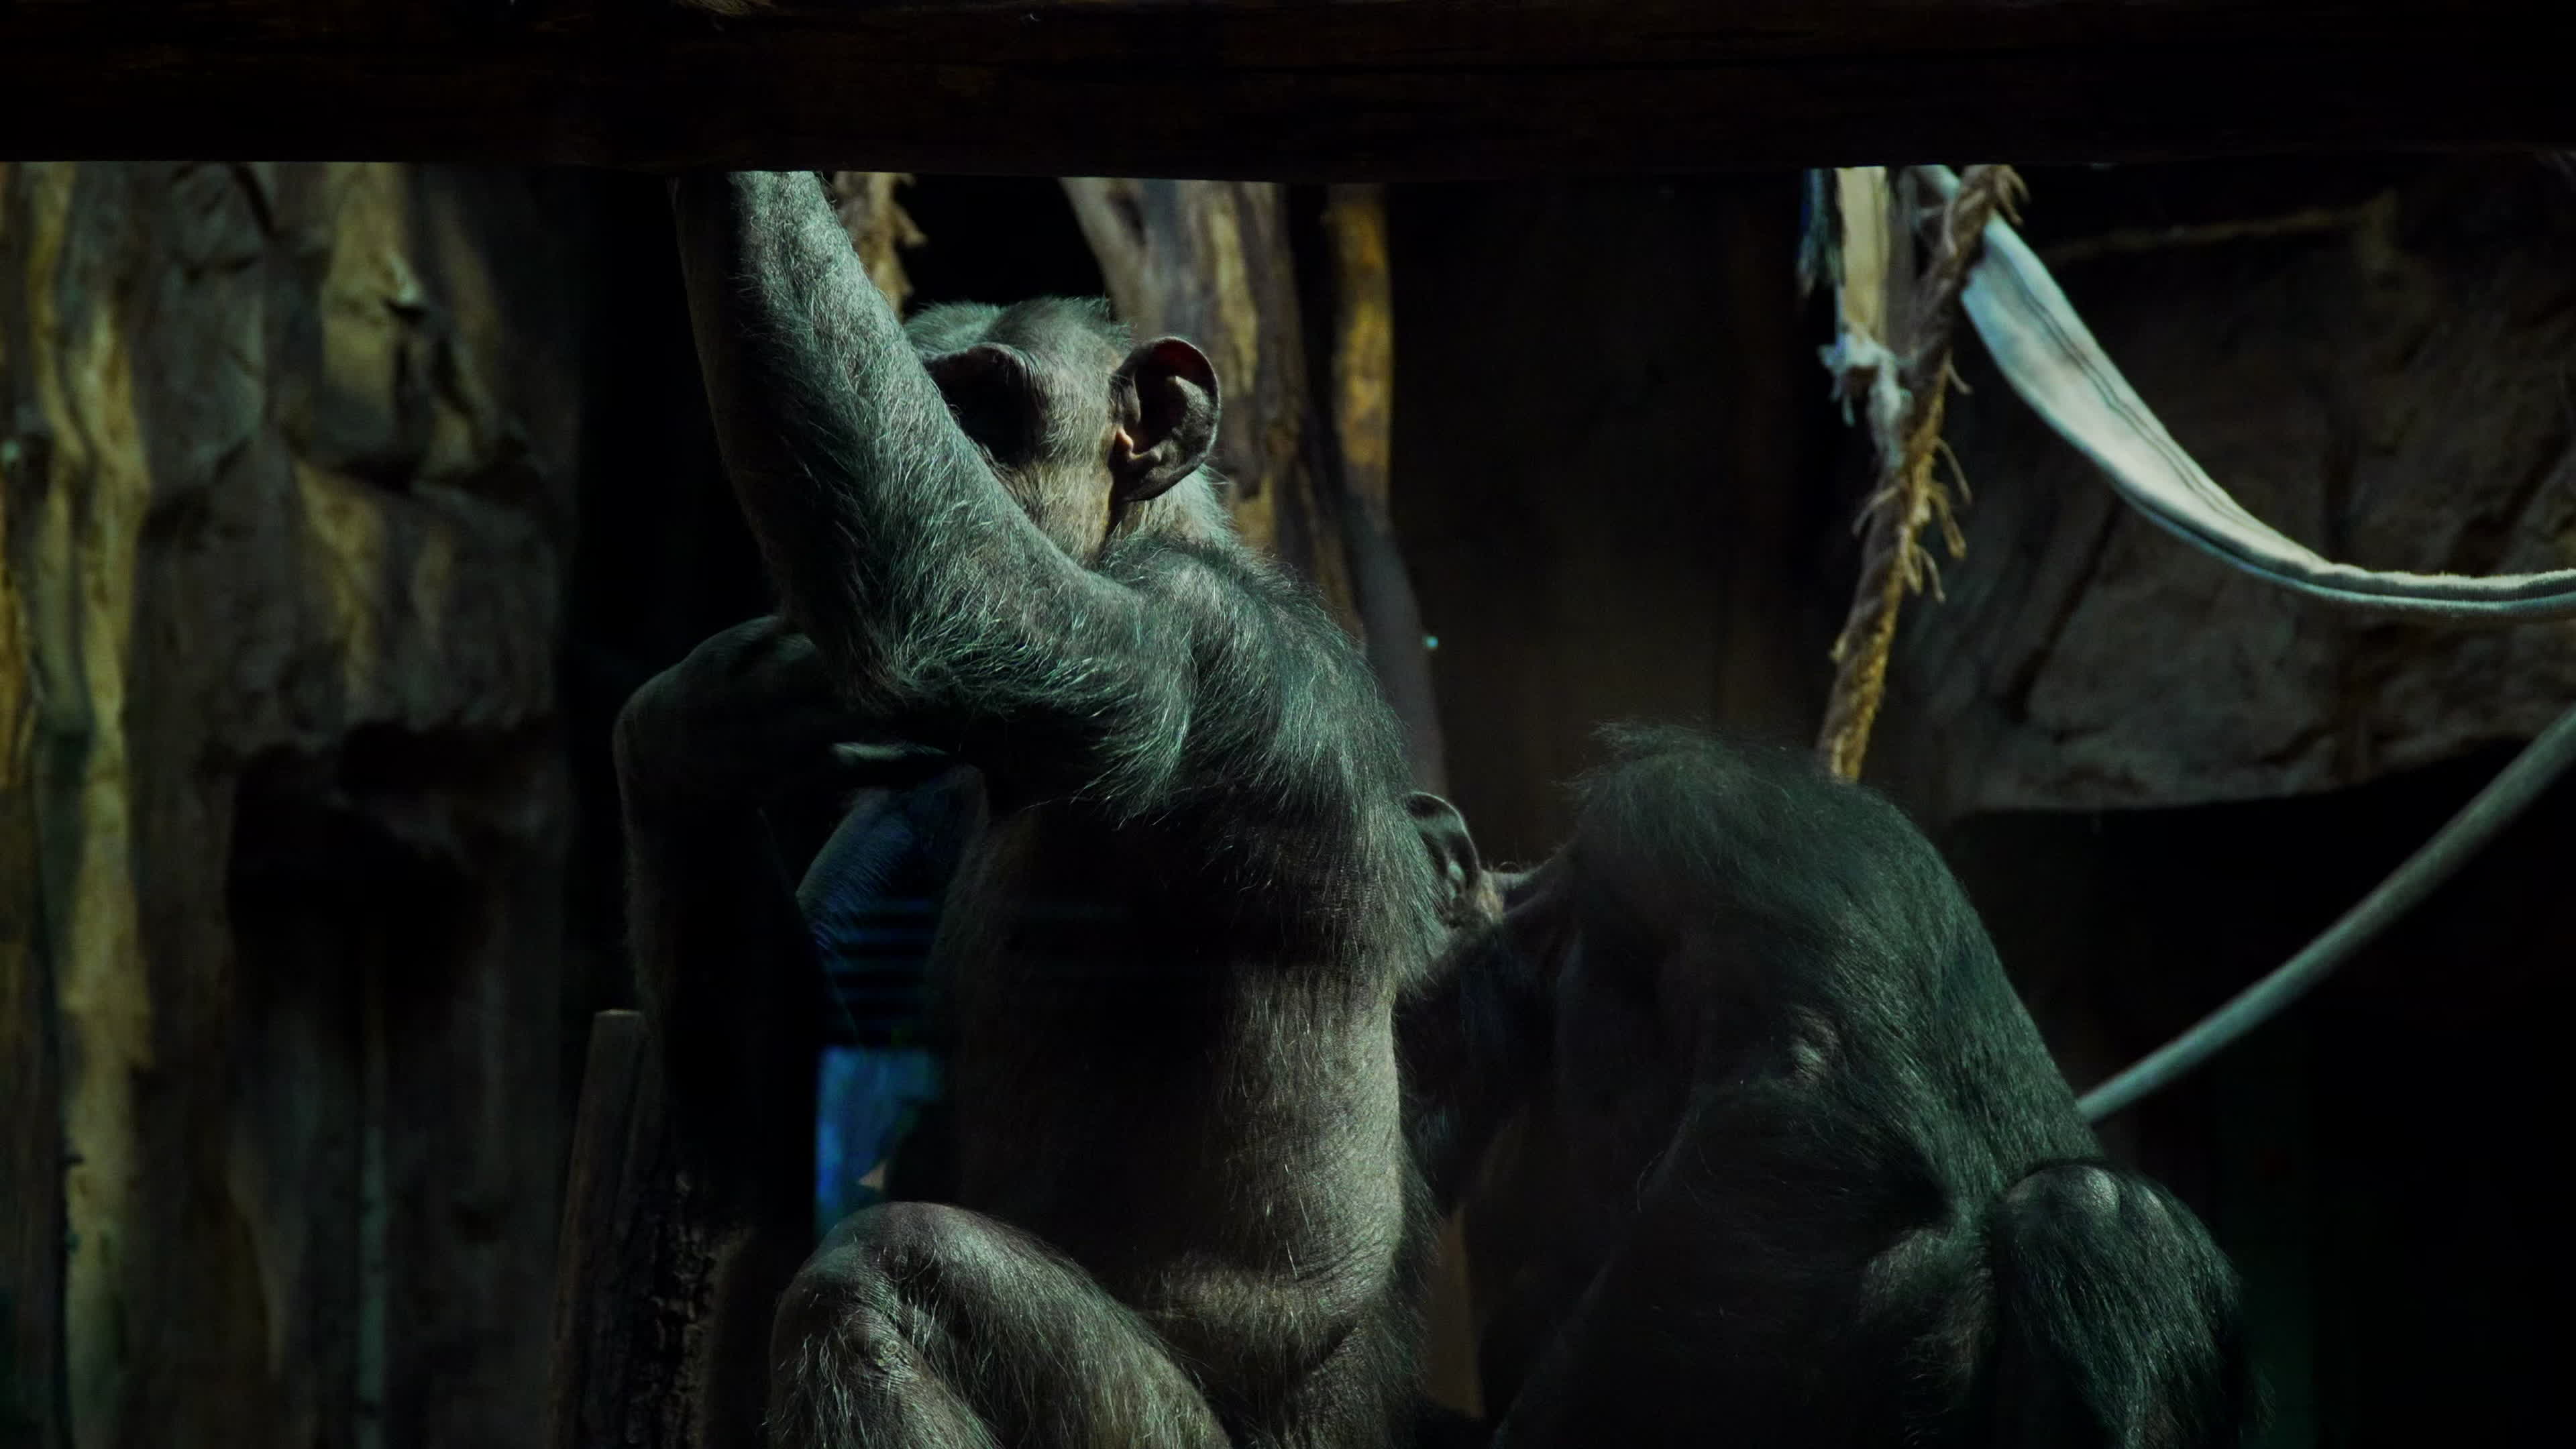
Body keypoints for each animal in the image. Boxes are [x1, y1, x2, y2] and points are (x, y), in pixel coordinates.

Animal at [660, 170, 1452, 1449]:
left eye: (989, 403)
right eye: (931, 394)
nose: (951, 451)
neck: (1143, 535)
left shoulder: (1206, 647)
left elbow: (955, 588)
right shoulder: (909, 796)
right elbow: (797, 1105)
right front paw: (695, 727)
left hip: (1147, 1431)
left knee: (888, 1273)